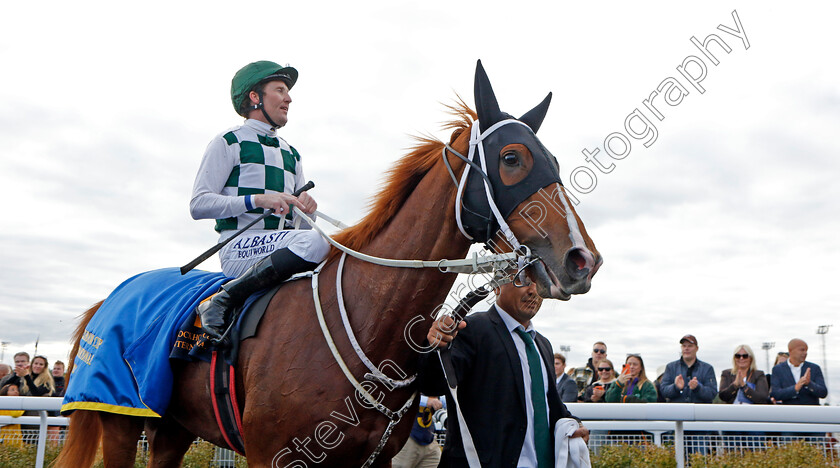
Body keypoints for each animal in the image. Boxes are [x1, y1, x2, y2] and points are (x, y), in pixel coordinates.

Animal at [55, 60, 600, 466]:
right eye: (512, 159)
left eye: (552, 158)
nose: (583, 259)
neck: (368, 323)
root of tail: (106, 302)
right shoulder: (273, 458)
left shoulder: (371, 461)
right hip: (121, 419)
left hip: (173, 428)